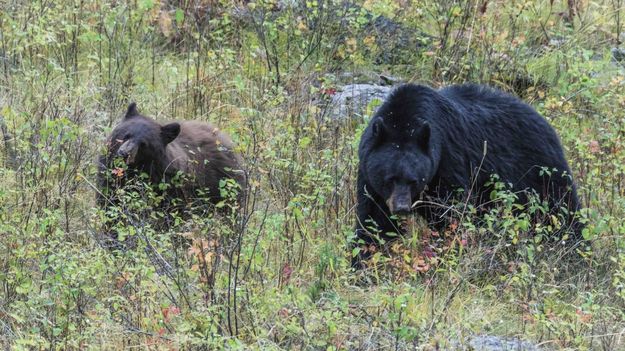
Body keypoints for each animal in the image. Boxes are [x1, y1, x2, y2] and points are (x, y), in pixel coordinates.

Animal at [96, 103, 245, 248]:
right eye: (126, 135)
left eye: (144, 144)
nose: (124, 153)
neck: (134, 171)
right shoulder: (109, 180)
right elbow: (110, 209)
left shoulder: (169, 187)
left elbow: (168, 217)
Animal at [354, 84, 584, 268]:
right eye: (390, 178)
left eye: (414, 180)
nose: (401, 207)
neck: (405, 120)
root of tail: (546, 123)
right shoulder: (369, 177)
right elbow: (373, 219)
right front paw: (361, 263)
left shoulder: (448, 162)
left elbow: (452, 213)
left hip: (540, 171)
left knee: (562, 211)